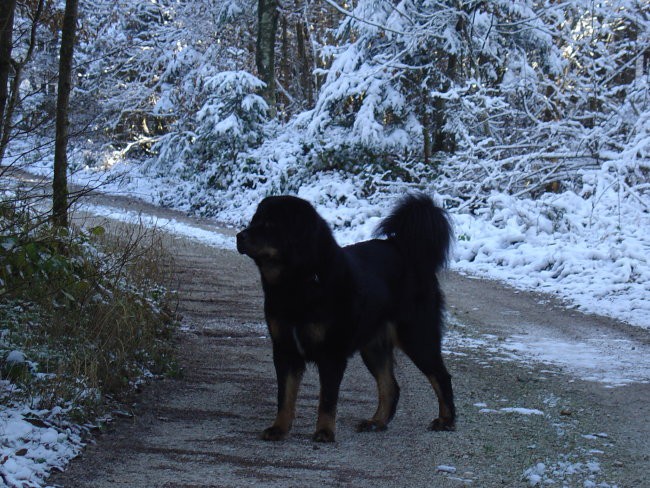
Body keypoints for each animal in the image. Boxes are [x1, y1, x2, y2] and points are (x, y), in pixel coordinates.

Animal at [235, 193, 454, 442]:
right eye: (254, 221)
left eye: (270, 225)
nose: (239, 236)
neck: (299, 281)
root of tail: (403, 248)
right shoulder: (285, 349)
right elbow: (285, 396)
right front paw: (279, 428)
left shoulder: (331, 353)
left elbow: (327, 399)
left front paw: (324, 432)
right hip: (374, 346)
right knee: (391, 387)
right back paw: (376, 423)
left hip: (416, 336)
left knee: (441, 376)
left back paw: (446, 421)